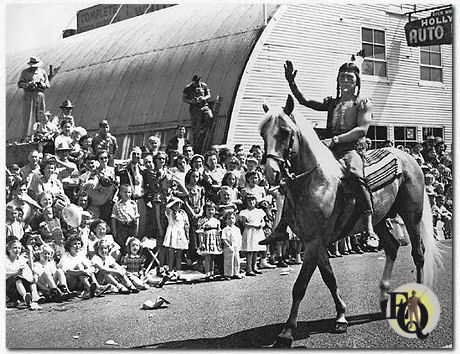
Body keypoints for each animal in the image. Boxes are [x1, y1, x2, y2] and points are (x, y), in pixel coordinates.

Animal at [258, 94, 442, 348]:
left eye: (285, 132)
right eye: (263, 133)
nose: (271, 173)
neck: (315, 182)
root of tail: (409, 158)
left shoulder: (314, 243)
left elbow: (300, 286)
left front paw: (287, 332)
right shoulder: (316, 243)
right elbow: (329, 279)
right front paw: (341, 316)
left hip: (411, 215)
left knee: (418, 253)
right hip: (379, 220)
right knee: (392, 247)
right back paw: (383, 298)